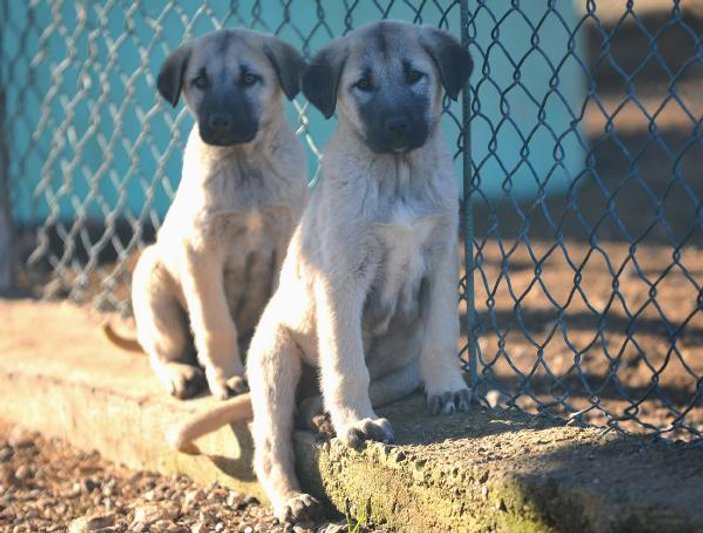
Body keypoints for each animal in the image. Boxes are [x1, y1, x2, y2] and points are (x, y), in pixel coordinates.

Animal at [121, 28, 308, 394]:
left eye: (249, 78)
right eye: (200, 81)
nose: (219, 121)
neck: (244, 162)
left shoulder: (285, 240)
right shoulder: (201, 252)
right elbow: (214, 322)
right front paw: (227, 377)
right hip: (152, 282)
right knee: (162, 351)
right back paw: (180, 374)